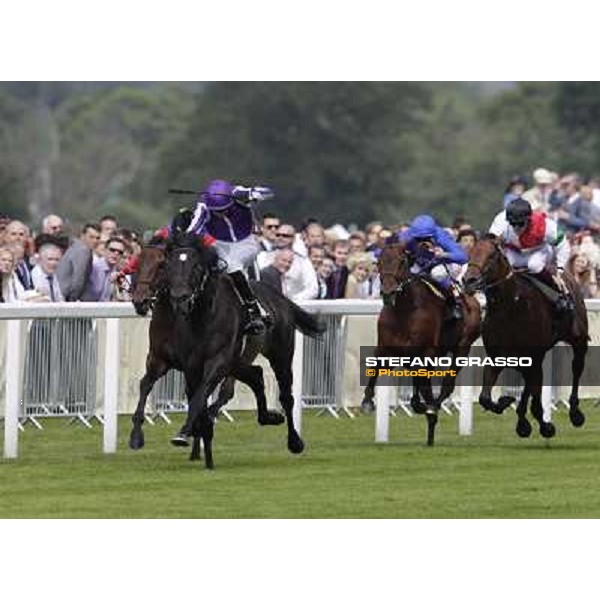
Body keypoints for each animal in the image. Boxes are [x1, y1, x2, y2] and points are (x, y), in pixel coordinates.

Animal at [360, 244, 482, 446]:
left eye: (402, 261)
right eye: (379, 262)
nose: (388, 292)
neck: (403, 311)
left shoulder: (426, 353)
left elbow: (427, 386)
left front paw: (429, 410)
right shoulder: (386, 348)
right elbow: (375, 367)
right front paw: (367, 402)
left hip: (462, 348)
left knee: (447, 385)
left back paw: (433, 410)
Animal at [464, 234, 584, 436]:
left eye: (491, 256)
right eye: (470, 252)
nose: (469, 280)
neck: (510, 307)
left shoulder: (534, 356)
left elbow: (536, 400)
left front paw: (546, 426)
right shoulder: (496, 357)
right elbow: (485, 398)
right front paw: (506, 402)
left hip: (578, 339)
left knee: (576, 368)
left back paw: (575, 413)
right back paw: (522, 421)